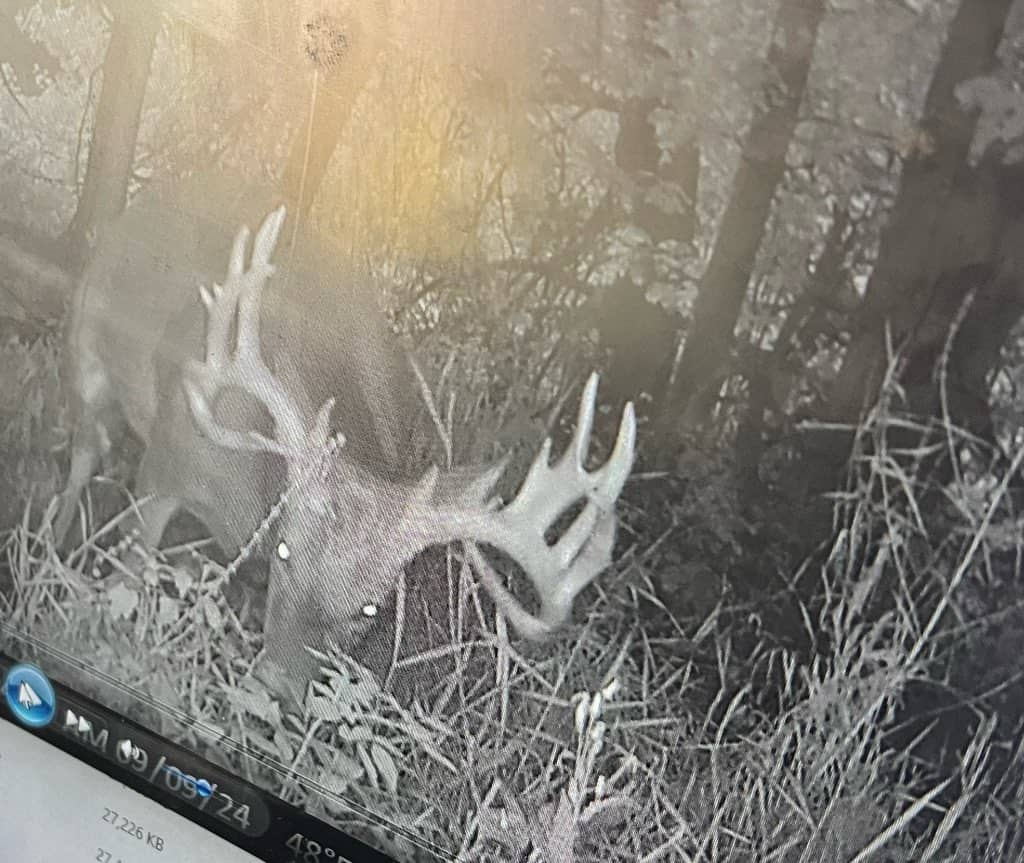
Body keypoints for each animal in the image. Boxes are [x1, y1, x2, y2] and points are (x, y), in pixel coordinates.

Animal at [55, 189, 636, 697]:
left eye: (371, 609)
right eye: (286, 551)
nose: (275, 687)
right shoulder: (166, 468)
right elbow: (128, 572)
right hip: (86, 338)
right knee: (86, 447)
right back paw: (53, 540)